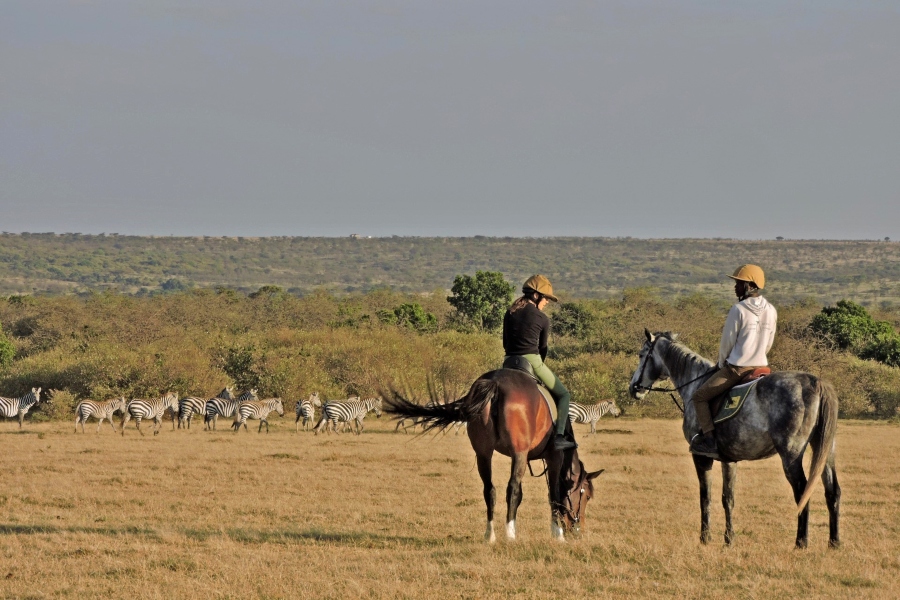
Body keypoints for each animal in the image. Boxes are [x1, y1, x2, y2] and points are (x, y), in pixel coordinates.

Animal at [384, 368, 600, 540]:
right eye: (587, 496)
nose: (578, 530)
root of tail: (495, 383)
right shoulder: (554, 457)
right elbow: (552, 493)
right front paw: (557, 533)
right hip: (519, 453)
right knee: (512, 489)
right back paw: (510, 535)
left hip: (483, 453)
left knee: (490, 490)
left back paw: (490, 535)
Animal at [628, 328, 840, 548]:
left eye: (641, 355)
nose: (634, 387)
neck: (695, 382)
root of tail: (816, 383)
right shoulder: (729, 459)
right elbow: (728, 498)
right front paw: (729, 539)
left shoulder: (700, 456)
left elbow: (706, 497)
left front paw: (705, 538)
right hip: (825, 450)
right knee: (832, 491)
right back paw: (834, 542)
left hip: (791, 454)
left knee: (802, 490)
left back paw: (801, 542)